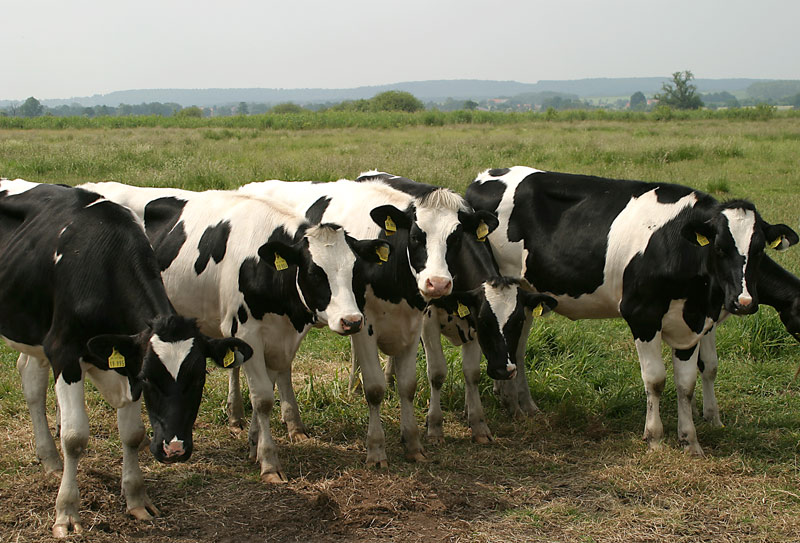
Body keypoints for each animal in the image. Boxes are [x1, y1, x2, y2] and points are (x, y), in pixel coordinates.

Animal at [0, 181, 250, 536]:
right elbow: (74, 437)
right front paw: (67, 513)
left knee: (30, 378)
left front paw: (136, 499)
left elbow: (132, 434)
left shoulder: (127, 358)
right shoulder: (64, 352)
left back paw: (49, 459)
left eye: (199, 377)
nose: (174, 449)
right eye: (149, 379)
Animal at [79, 183, 390, 484]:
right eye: (314, 272)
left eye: (355, 272)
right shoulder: (247, 330)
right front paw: (268, 462)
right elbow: (262, 398)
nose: (352, 321)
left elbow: (270, 384)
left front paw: (254, 443)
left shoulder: (280, 335)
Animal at [234, 173, 504, 468]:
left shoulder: (414, 324)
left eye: (455, 238)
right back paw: (236, 415)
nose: (438, 283)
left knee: (282, 367)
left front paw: (415, 442)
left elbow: (412, 385)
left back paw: (294, 424)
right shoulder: (366, 326)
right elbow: (375, 388)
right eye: (415, 236)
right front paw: (376, 450)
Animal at [466, 167, 796, 454]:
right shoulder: (642, 314)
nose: (744, 302)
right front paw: (655, 438)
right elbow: (656, 379)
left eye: (758, 250)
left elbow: (687, 383)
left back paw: (521, 404)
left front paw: (690, 440)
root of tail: (487, 175)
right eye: (719, 247)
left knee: (518, 346)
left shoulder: (693, 324)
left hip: (525, 295)